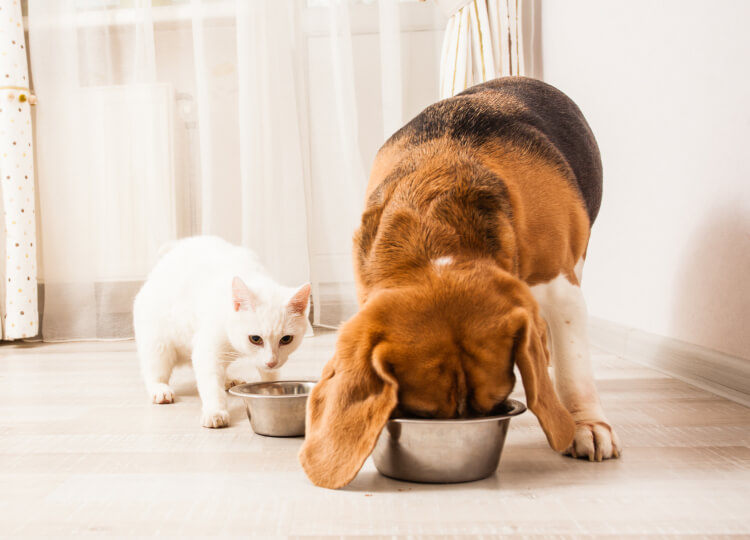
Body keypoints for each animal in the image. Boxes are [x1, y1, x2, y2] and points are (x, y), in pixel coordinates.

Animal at [133, 234, 312, 428]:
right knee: (155, 372)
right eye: (255, 338)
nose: (271, 361)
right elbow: (211, 384)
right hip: (159, 345)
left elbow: (270, 376)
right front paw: (215, 411)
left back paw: (228, 379)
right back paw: (160, 389)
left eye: (286, 339)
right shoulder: (207, 350)